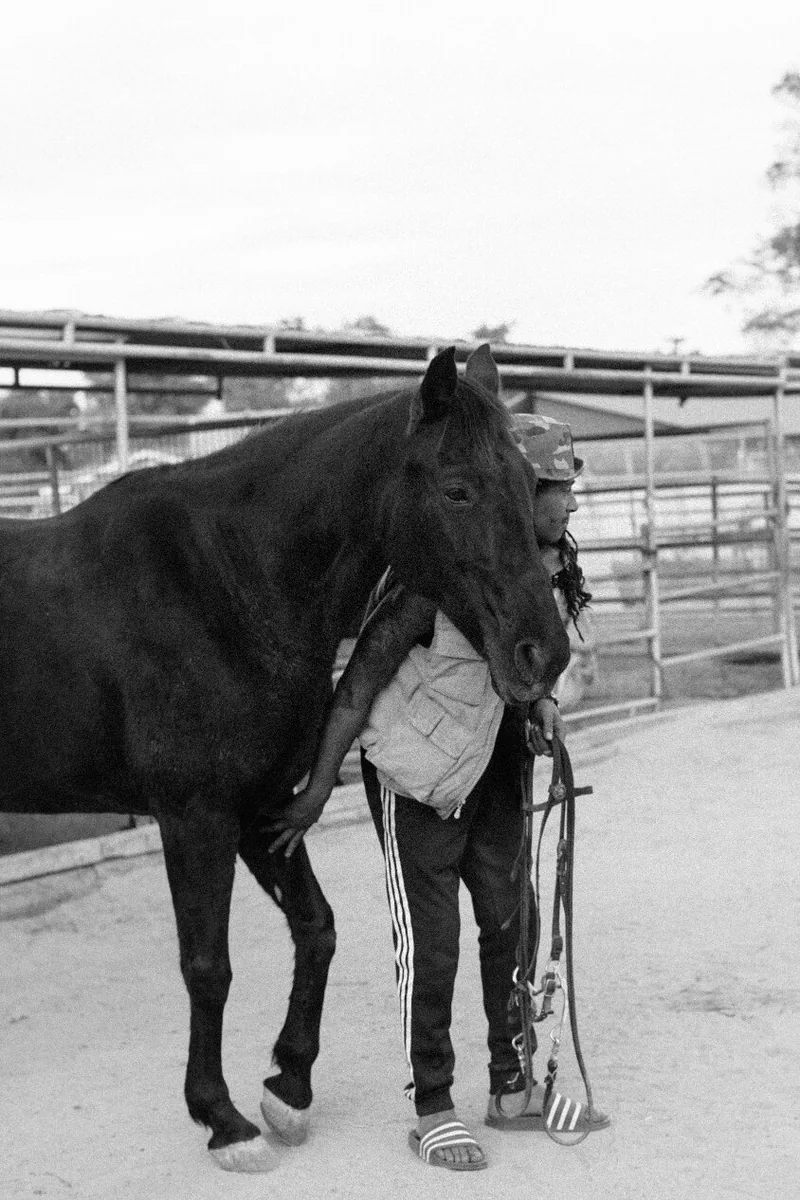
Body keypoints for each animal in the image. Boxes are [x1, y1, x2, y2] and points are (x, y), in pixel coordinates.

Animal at [0, 344, 570, 1172]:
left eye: (528, 484)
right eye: (458, 488)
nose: (543, 653)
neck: (226, 582)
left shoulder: (261, 812)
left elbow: (317, 929)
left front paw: (287, 1089)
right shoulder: (196, 817)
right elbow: (208, 966)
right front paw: (224, 1119)